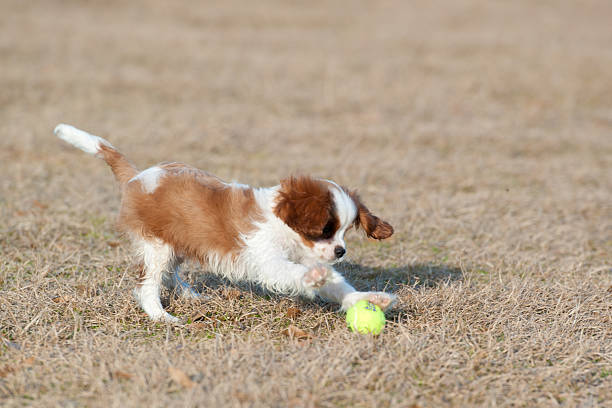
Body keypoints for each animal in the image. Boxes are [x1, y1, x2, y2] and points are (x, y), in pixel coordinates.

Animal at [53, 124, 396, 322]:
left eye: (345, 231)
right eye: (326, 229)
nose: (341, 251)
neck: (287, 232)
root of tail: (138, 176)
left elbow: (338, 284)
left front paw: (368, 299)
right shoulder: (268, 260)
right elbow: (297, 273)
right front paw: (314, 277)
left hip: (177, 242)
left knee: (171, 273)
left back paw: (190, 295)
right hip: (157, 245)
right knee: (149, 284)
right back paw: (161, 316)